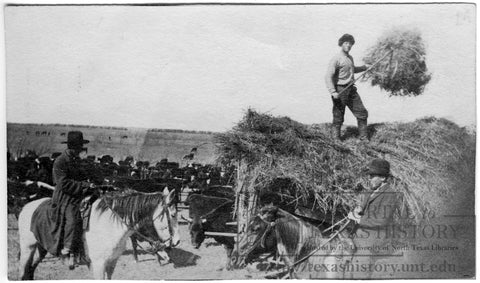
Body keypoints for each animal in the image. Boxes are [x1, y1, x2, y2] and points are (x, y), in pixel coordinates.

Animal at [18, 189, 180, 280]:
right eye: (172, 215)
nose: (177, 241)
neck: (109, 226)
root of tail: (27, 206)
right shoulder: (98, 264)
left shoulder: (111, 262)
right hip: (27, 247)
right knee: (23, 271)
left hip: (41, 249)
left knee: (30, 271)